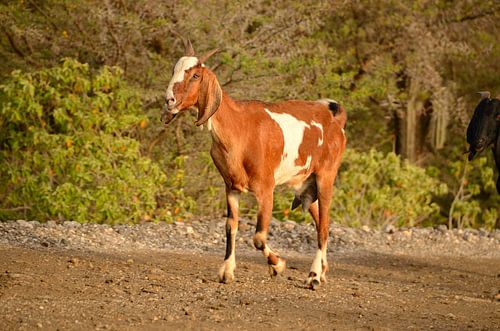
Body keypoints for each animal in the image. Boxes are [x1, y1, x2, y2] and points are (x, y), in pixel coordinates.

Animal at [162, 42, 346, 290]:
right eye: (174, 70)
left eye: (195, 75)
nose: (169, 100)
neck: (240, 129)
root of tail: (335, 121)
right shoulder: (231, 187)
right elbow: (230, 227)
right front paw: (226, 272)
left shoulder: (265, 188)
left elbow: (258, 237)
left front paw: (278, 265)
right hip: (304, 183)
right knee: (319, 222)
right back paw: (322, 271)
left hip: (326, 175)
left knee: (324, 225)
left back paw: (314, 276)